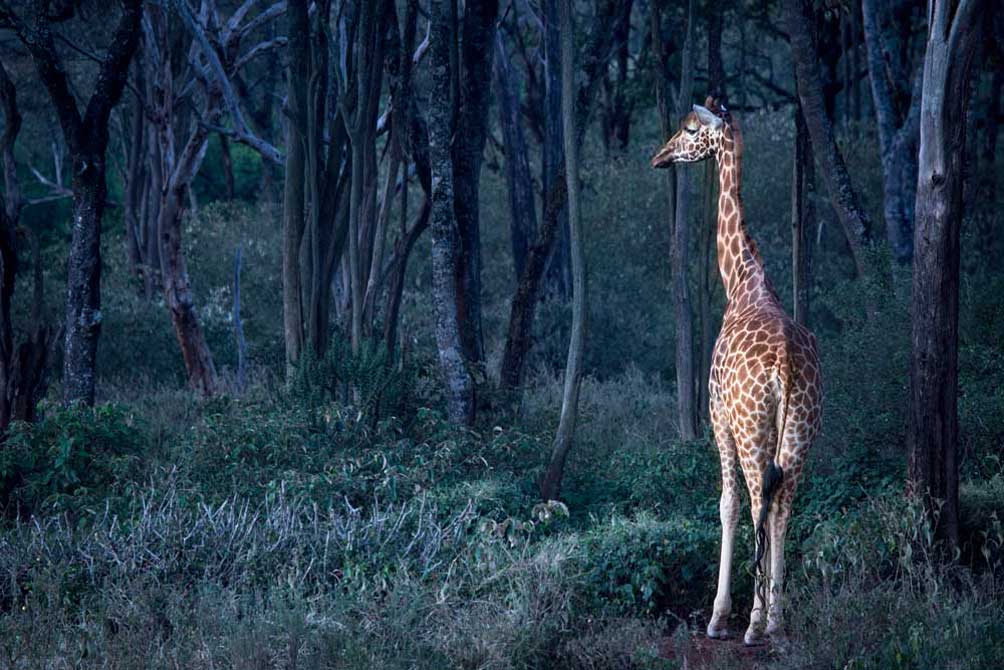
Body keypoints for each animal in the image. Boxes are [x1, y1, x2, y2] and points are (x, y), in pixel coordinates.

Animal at [650, 97, 823, 645]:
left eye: (689, 130)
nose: (659, 156)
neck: (742, 281)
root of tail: (785, 366)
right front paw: (760, 611)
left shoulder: (718, 419)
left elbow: (725, 505)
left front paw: (719, 616)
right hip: (801, 431)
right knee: (783, 501)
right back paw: (777, 620)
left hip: (751, 429)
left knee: (754, 501)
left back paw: (753, 622)